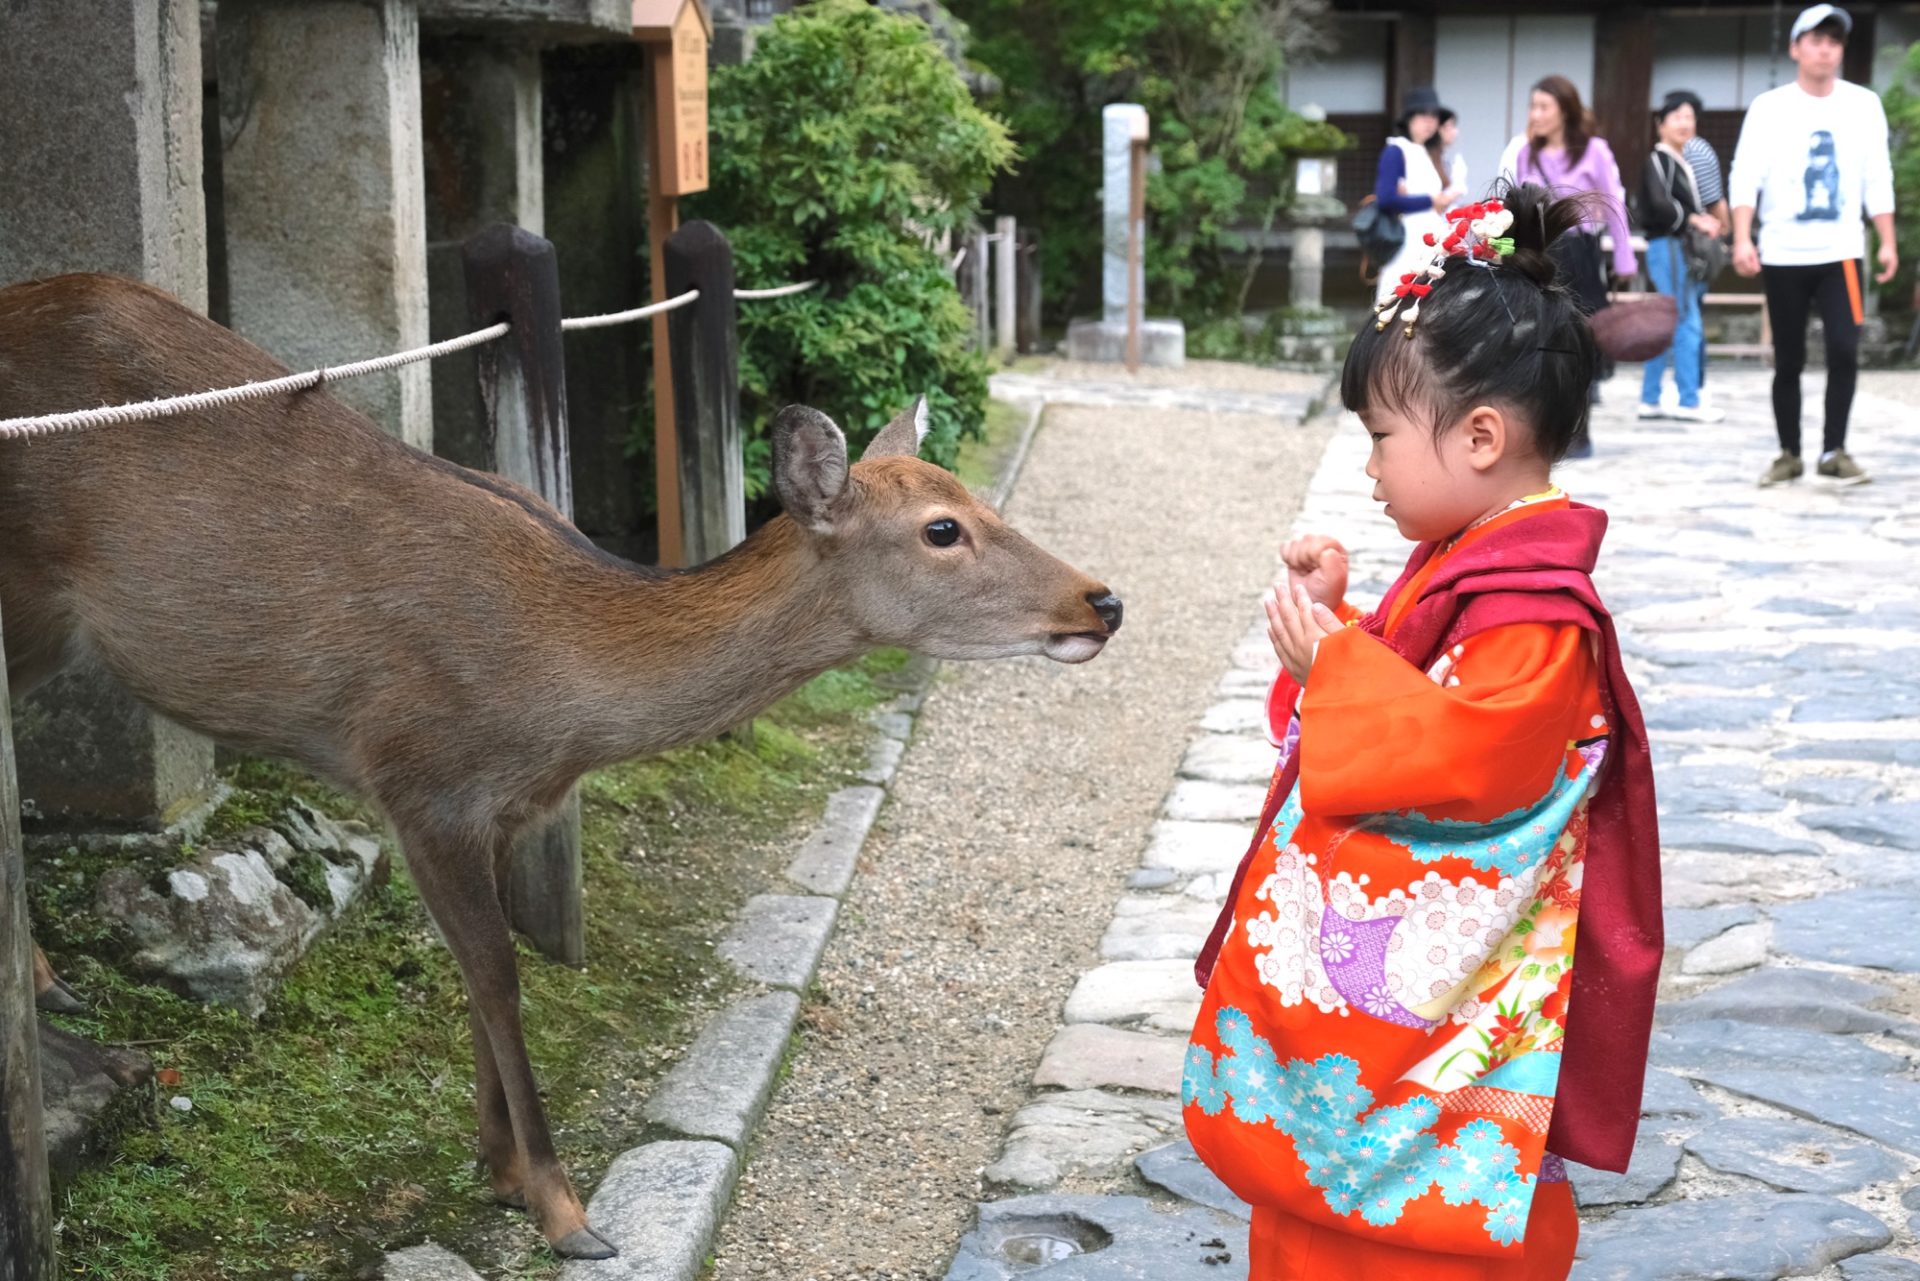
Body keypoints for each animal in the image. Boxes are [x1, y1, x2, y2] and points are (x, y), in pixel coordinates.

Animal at [0, 272, 1121, 1259]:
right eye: (943, 528)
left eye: (977, 501)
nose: (1102, 599)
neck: (558, 699)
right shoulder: (420, 780)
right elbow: (500, 976)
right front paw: (565, 1209)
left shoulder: (501, 808)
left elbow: (476, 974)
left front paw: (498, 1165)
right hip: (27, 598)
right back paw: (48, 984)